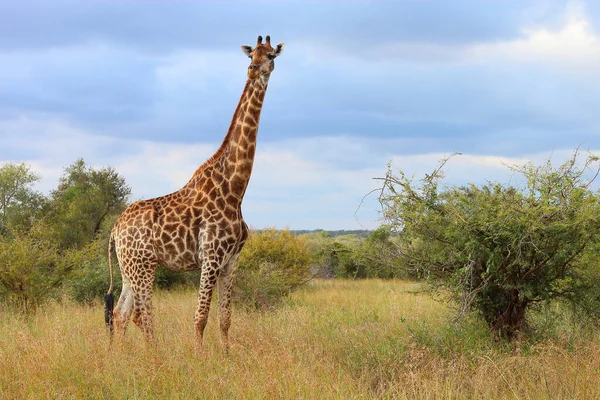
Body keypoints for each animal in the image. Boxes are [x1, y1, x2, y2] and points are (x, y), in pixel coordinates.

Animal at [104, 35, 284, 354]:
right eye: (252, 55)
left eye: (271, 55)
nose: (253, 70)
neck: (235, 190)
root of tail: (114, 230)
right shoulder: (211, 256)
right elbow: (200, 316)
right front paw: (199, 357)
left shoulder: (231, 261)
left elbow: (225, 317)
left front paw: (226, 356)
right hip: (144, 265)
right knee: (142, 314)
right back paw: (155, 356)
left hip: (128, 267)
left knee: (121, 313)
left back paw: (122, 357)